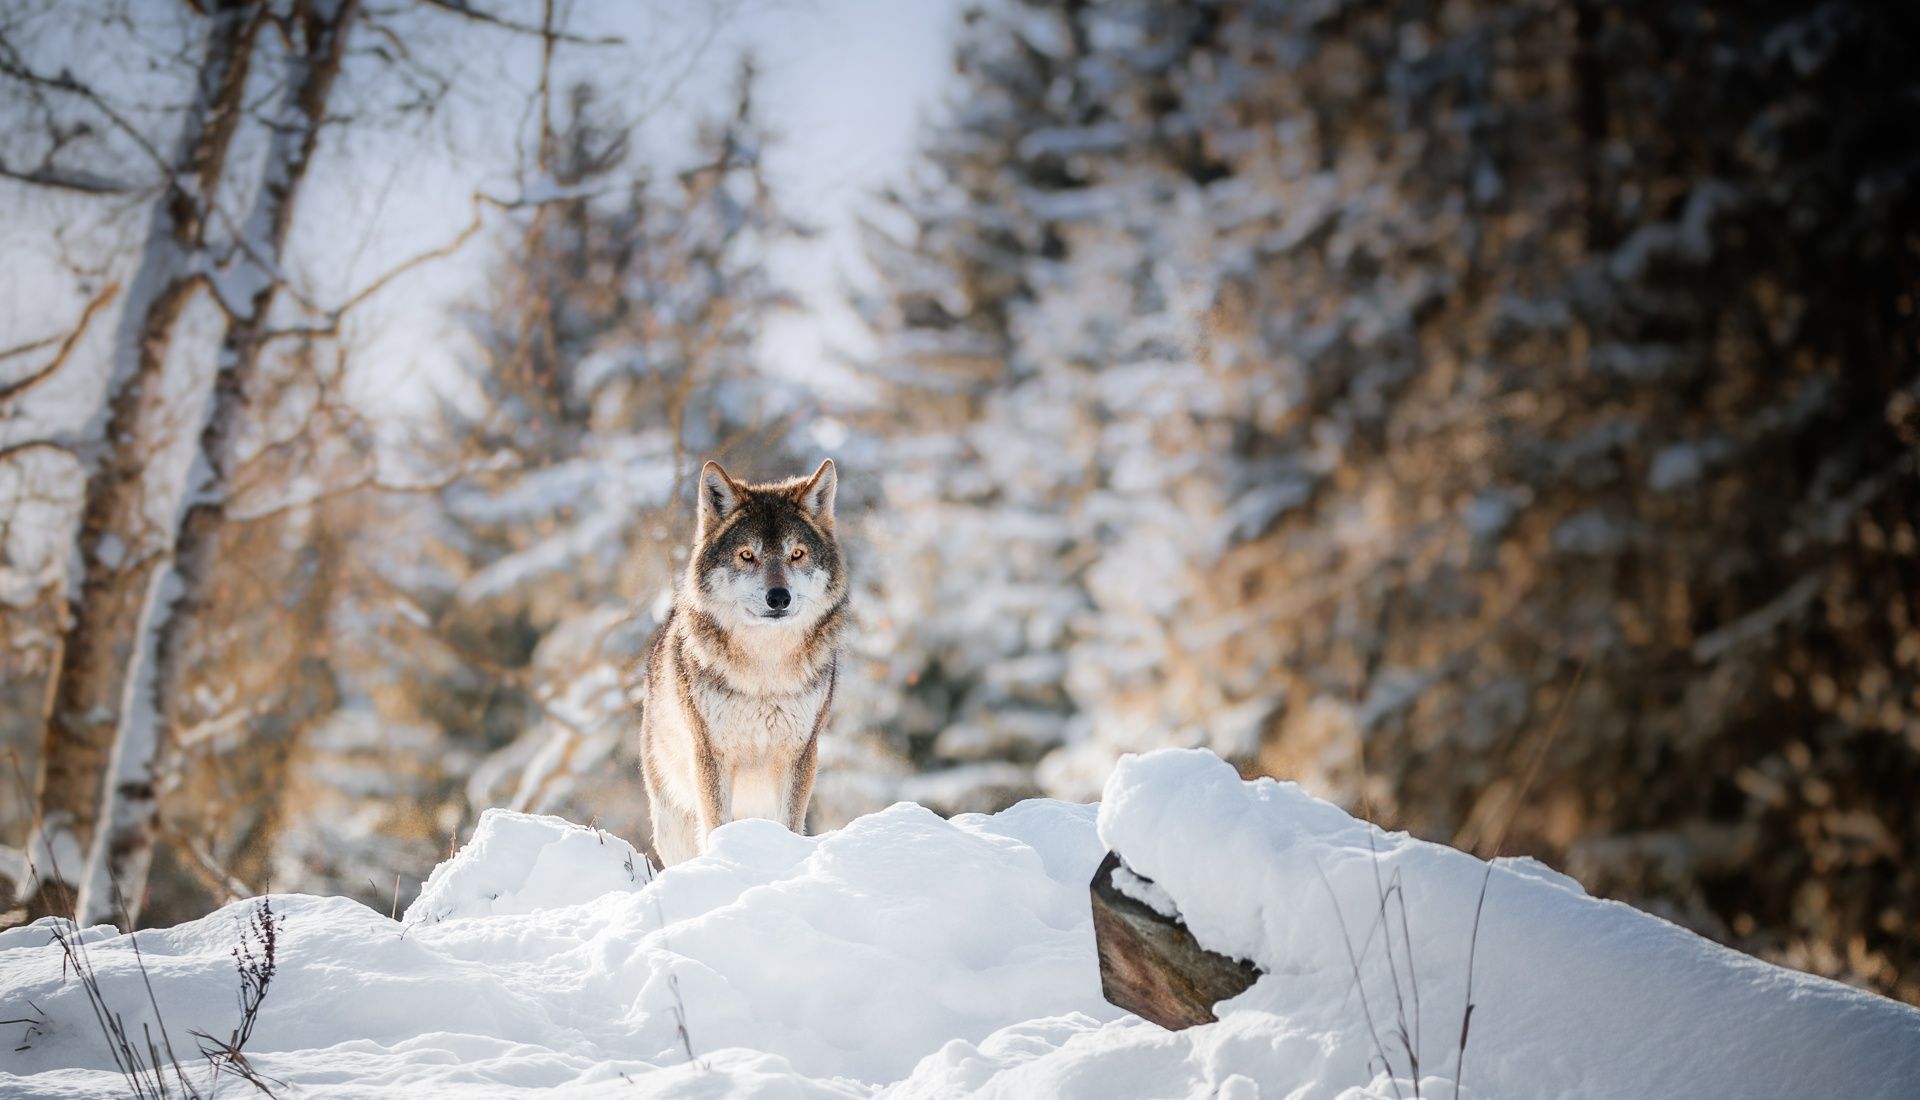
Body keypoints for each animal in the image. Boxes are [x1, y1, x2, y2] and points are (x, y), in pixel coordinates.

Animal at [639, 458, 846, 867]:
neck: (764, 672)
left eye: (796, 554)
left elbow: (789, 824)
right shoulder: (710, 754)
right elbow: (715, 825)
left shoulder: (799, 755)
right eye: (747, 555)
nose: (779, 597)